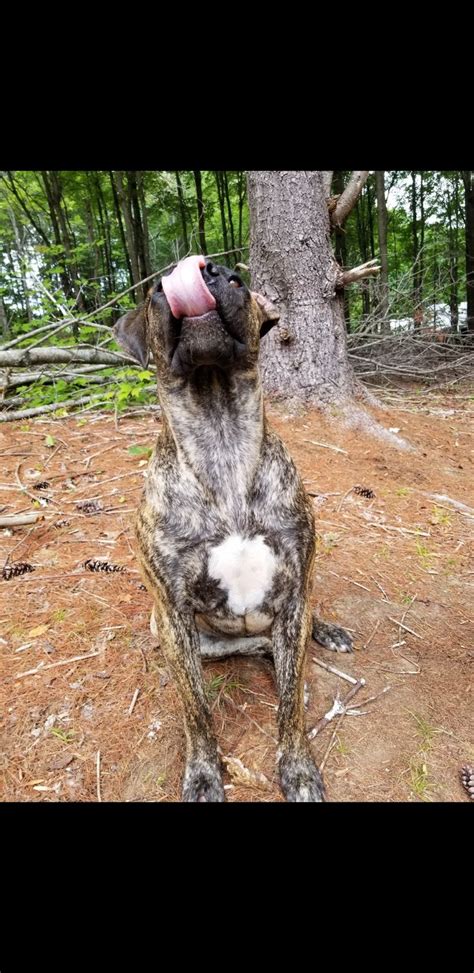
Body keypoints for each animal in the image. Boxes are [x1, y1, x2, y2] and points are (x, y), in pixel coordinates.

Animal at [114, 262, 352, 800]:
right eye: (158, 288)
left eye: (238, 280)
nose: (207, 270)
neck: (221, 436)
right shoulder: (175, 615)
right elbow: (196, 711)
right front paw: (204, 773)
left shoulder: (293, 589)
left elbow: (291, 704)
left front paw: (297, 768)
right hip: (172, 630)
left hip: (298, 601)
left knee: (303, 624)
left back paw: (326, 630)